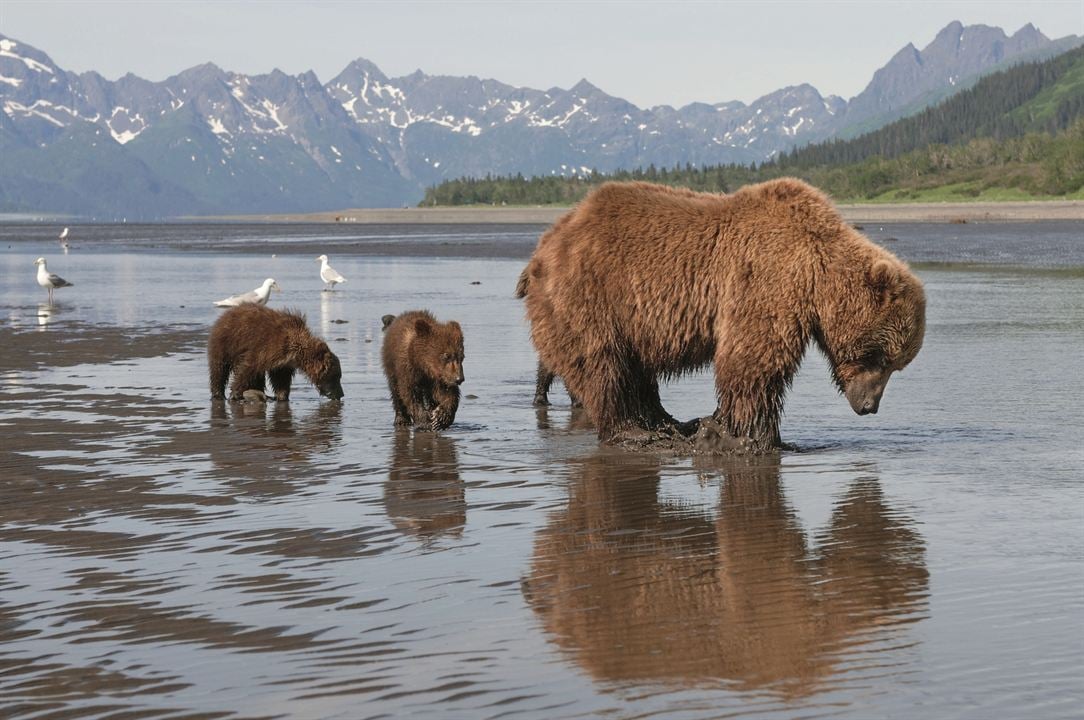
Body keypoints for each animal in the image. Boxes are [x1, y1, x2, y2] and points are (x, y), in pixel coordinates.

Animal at [207, 303, 342, 401]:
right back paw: (219, 394)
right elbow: (247, 368)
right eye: (336, 377)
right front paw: (234, 393)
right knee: (219, 368)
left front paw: (282, 396)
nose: (341, 394)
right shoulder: (266, 348)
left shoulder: (282, 363)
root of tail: (226, 313)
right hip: (225, 342)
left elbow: (281, 378)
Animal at [520, 180, 927, 451]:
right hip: (593, 294)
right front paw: (751, 436)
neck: (816, 273)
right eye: (879, 357)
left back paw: (668, 422)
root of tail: (544, 246)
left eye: (897, 365)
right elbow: (754, 360)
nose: (869, 407)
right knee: (603, 363)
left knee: (634, 369)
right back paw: (634, 430)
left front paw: (726, 426)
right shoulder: (767, 278)